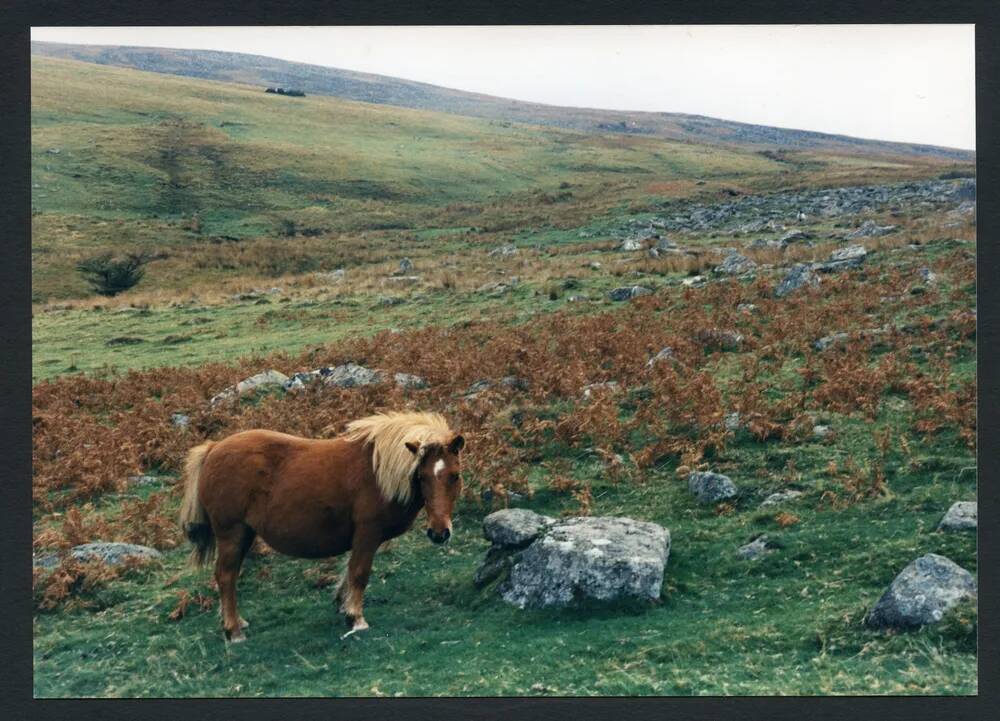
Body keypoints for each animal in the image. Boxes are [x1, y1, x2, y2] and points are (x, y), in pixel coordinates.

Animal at [177, 410, 464, 640]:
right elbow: (359, 573)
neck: (379, 470)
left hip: (245, 534)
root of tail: (213, 448)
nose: (439, 533)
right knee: (225, 576)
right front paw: (356, 618)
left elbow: (348, 572)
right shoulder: (367, 534)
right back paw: (233, 631)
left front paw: (343, 605)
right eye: (421, 476)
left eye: (455, 475)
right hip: (231, 533)